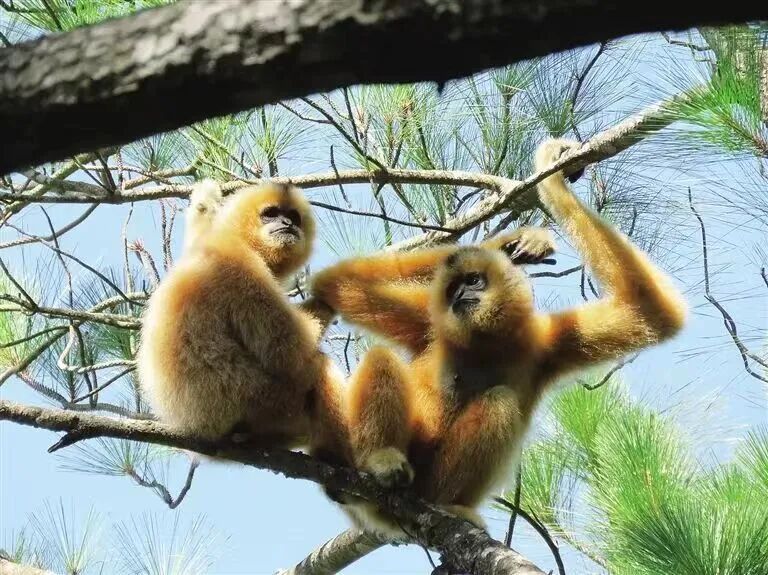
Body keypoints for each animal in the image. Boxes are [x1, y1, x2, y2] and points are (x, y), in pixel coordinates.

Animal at [137, 182, 352, 467]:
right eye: (270, 214)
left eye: (293, 216)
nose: (286, 223)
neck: (240, 240)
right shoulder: (242, 266)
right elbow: (289, 352)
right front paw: (333, 291)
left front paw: (204, 201)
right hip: (263, 403)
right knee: (317, 366)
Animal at [310, 138, 687, 535]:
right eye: (453, 290)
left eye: (473, 281)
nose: (460, 296)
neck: (484, 344)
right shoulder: (429, 319)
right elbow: (338, 281)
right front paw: (514, 241)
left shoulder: (548, 341)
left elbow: (650, 312)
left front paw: (547, 192)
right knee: (382, 356)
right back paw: (380, 461)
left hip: (430, 481)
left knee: (498, 403)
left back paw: (446, 505)